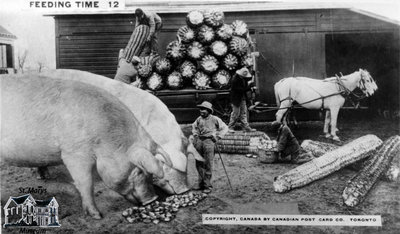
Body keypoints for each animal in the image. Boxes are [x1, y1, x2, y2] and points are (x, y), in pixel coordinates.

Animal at [0, 74, 173, 219]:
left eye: (151, 175)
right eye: (138, 170)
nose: (153, 199)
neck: (106, 140)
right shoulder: (73, 152)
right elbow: (86, 183)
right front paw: (97, 216)